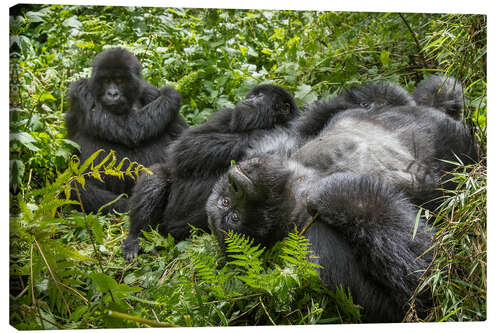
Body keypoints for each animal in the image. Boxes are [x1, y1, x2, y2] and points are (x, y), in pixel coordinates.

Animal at [64, 46, 186, 213]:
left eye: (120, 80)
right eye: (106, 80)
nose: (112, 93)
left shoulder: (150, 91)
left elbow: (181, 136)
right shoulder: (80, 90)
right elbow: (129, 129)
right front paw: (170, 95)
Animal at [122, 84, 300, 260]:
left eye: (261, 96)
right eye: (253, 95)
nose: (248, 99)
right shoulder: (225, 114)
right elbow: (188, 145)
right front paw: (260, 135)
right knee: (157, 176)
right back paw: (135, 237)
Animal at [206, 76, 476, 322]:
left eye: (224, 199)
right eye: (232, 215)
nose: (235, 185)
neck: (295, 184)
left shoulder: (281, 145)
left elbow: (323, 113)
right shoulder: (317, 247)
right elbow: (417, 291)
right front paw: (334, 192)